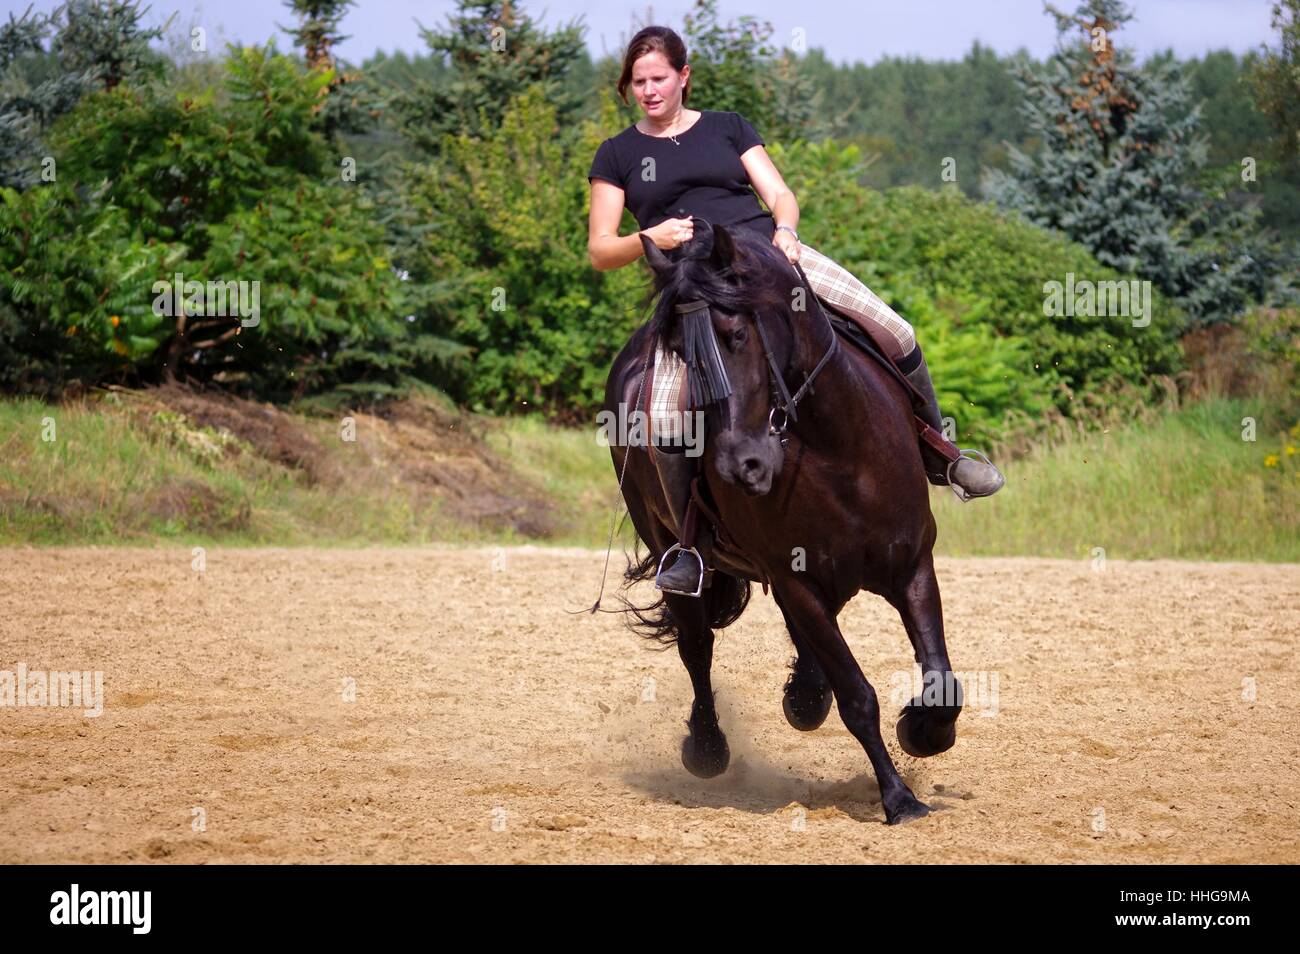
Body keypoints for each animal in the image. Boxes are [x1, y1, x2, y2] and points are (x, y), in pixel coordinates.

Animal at [602, 220, 963, 825]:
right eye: (679, 353)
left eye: (737, 336)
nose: (739, 466)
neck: (836, 449)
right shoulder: (796, 582)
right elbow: (858, 697)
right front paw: (898, 799)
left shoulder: (912, 563)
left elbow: (941, 681)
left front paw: (922, 732)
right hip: (673, 549)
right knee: (696, 646)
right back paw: (709, 748)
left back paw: (804, 697)